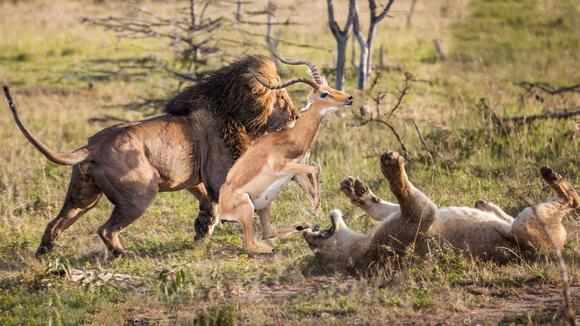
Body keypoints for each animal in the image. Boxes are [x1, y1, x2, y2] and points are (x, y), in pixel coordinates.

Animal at [4, 54, 302, 258]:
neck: (234, 108)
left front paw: (202, 230)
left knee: (55, 223)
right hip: (140, 194)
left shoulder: (193, 177)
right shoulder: (219, 174)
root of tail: (92, 146)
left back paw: (44, 253)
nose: (297, 115)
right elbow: (240, 201)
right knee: (105, 229)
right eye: (283, 99)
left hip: (83, 196)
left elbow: (208, 203)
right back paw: (123, 255)